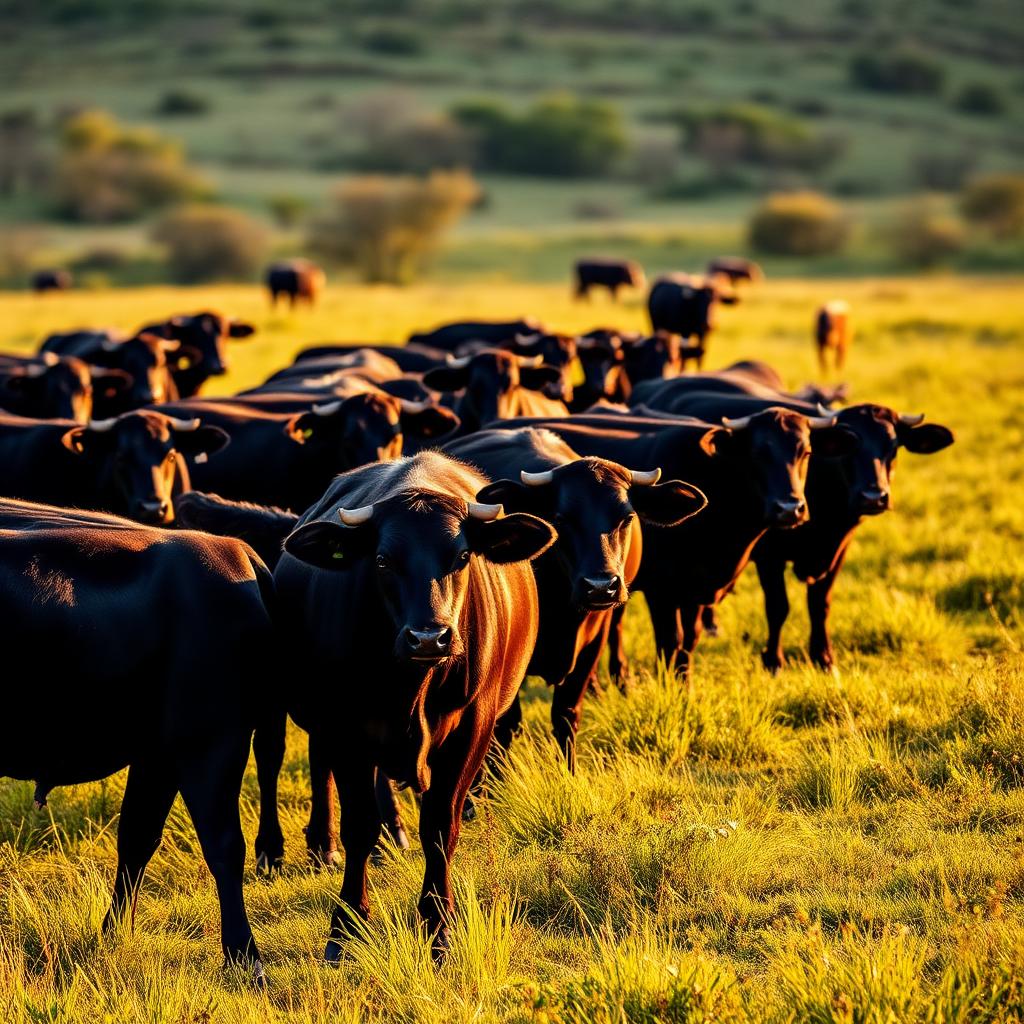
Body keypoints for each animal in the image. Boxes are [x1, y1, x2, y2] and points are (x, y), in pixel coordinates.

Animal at [230, 451, 555, 960]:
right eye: (383, 560)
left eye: (462, 556)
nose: (429, 637)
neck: (412, 687)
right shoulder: (344, 725)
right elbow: (359, 825)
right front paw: (345, 928)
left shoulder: (472, 730)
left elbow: (440, 828)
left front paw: (438, 928)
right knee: (272, 757)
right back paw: (278, 849)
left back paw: (333, 843)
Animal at [444, 427, 706, 770]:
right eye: (562, 519)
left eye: (626, 518)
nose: (601, 586)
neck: (563, 611)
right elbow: (505, 727)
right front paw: (498, 778)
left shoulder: (591, 645)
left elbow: (567, 715)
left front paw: (568, 772)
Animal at [495, 408, 857, 681]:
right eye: (758, 454)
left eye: (805, 452)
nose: (790, 508)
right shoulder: (662, 592)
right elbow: (671, 641)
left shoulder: (693, 591)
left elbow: (689, 641)